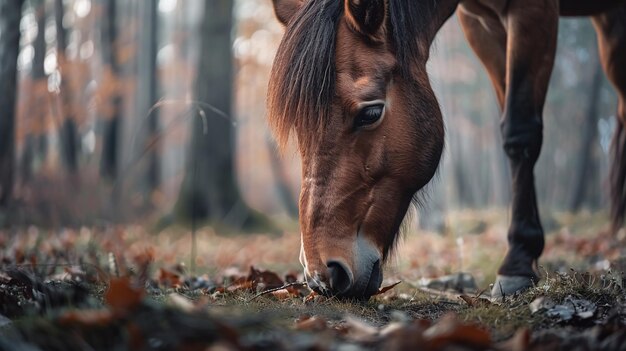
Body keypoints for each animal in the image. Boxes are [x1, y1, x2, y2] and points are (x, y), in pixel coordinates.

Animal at [264, 0, 624, 300]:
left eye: (370, 113)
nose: (323, 275)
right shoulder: (481, 23)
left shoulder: (533, 11)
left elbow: (519, 131)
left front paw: (517, 265)